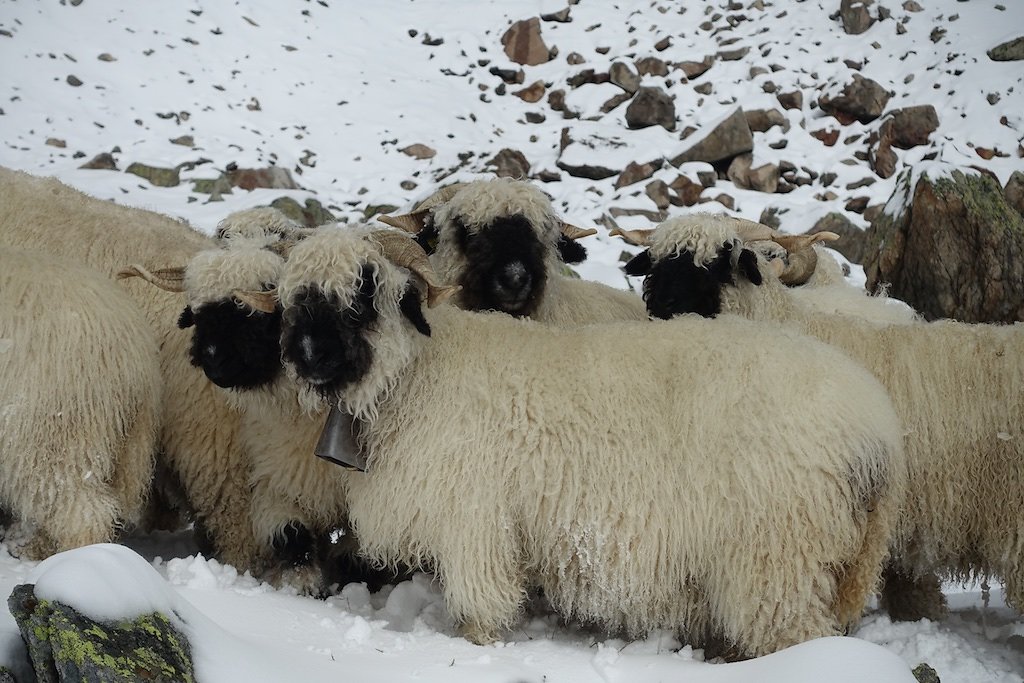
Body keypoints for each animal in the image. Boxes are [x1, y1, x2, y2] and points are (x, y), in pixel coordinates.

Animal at [251, 227, 909, 659]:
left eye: (364, 290)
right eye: (294, 297)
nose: (307, 354)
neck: (417, 374)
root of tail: (877, 432)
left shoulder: (475, 521)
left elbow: (479, 611)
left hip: (777, 558)